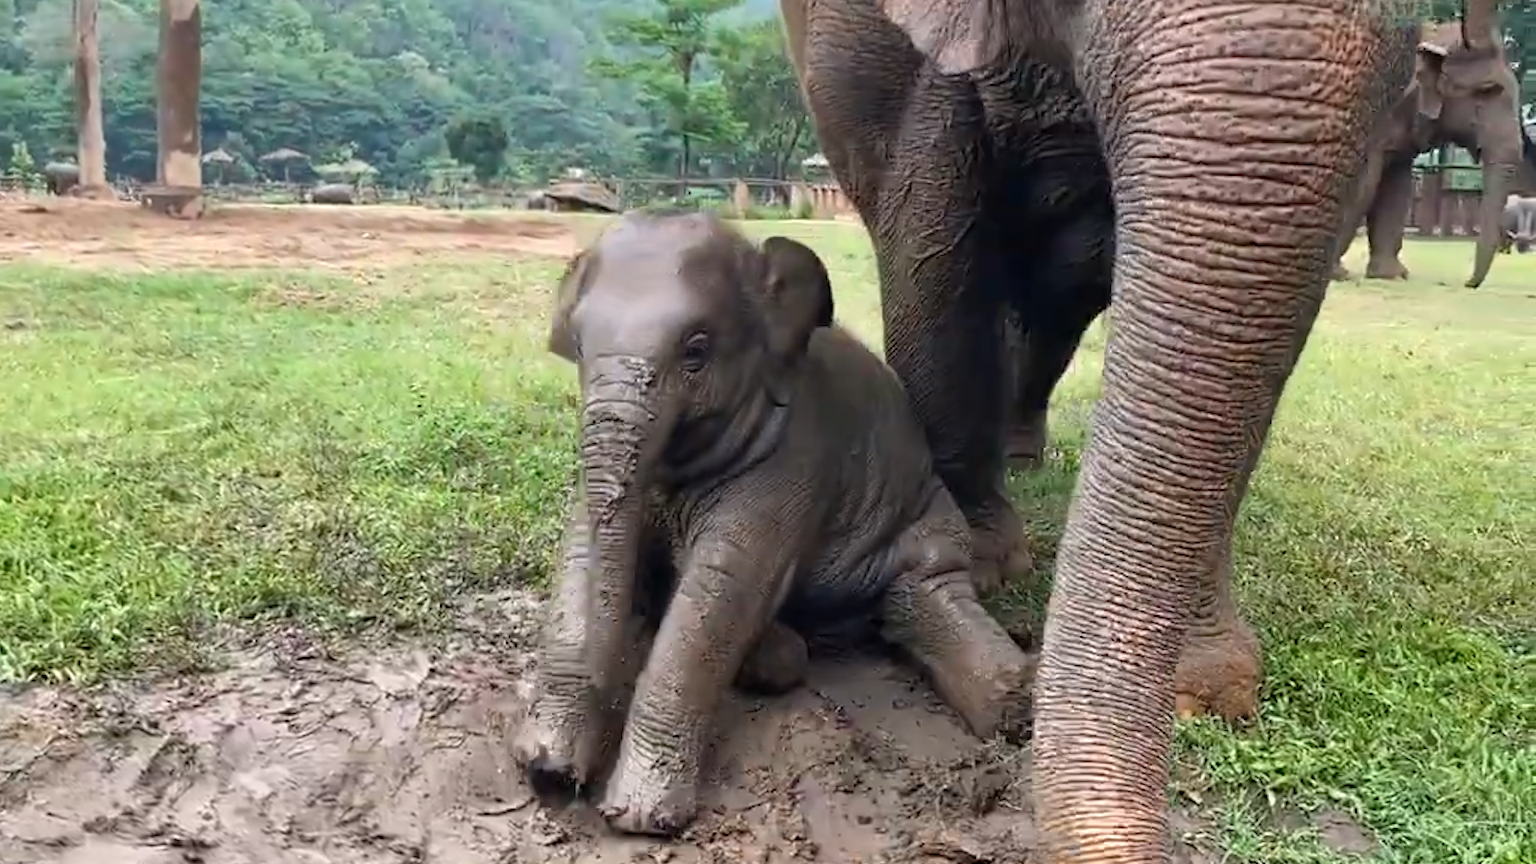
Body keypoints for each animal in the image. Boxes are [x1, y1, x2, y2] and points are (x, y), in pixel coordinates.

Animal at [512, 210, 1036, 837]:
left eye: (695, 350)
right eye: (579, 347)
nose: (568, 785)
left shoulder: (793, 461)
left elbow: (721, 592)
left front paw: (638, 816)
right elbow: (581, 551)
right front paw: (543, 763)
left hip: (925, 520)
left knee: (930, 593)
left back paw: (1012, 700)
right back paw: (777, 653)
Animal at [1331, 21, 1536, 288]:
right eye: (1484, 92)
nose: (1466, 283)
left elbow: (1397, 187)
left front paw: (1392, 275)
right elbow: (1363, 186)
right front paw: (1336, 274)